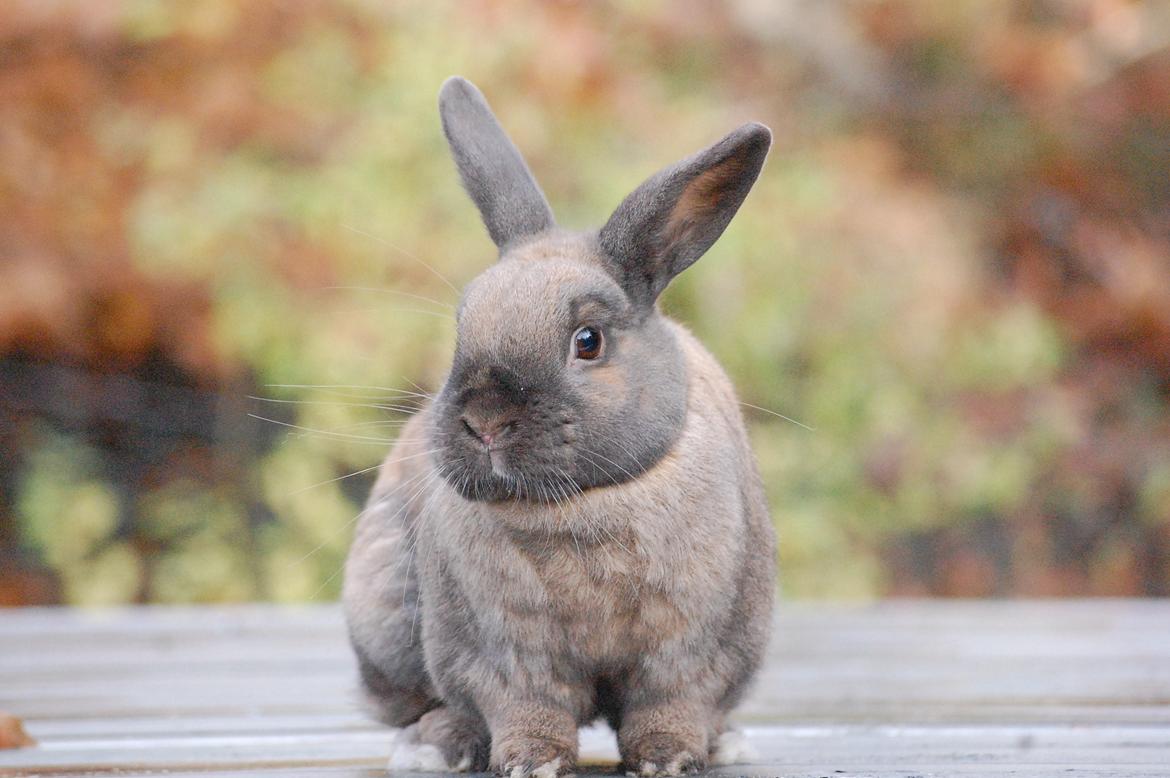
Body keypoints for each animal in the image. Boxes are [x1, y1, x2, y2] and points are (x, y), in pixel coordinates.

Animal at [341, 74, 776, 776]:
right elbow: (524, 708)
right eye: (462, 327)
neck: (580, 503)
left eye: (588, 340)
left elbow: (670, 706)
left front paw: (668, 759)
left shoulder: (689, 653)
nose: (486, 420)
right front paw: (531, 763)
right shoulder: (502, 655)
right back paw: (434, 746)